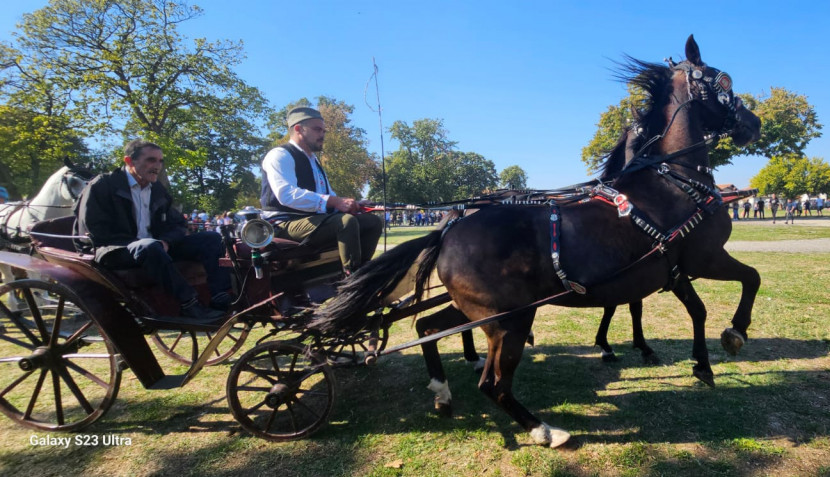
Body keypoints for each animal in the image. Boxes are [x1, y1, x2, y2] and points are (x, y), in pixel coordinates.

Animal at [316, 36, 764, 446]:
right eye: (724, 81)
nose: (754, 123)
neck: (671, 179)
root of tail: (448, 230)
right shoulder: (704, 258)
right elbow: (750, 278)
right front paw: (734, 333)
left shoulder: (671, 269)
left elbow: (696, 309)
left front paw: (700, 364)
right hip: (509, 320)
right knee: (493, 384)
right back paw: (543, 429)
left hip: (480, 312)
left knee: (429, 326)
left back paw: (444, 393)